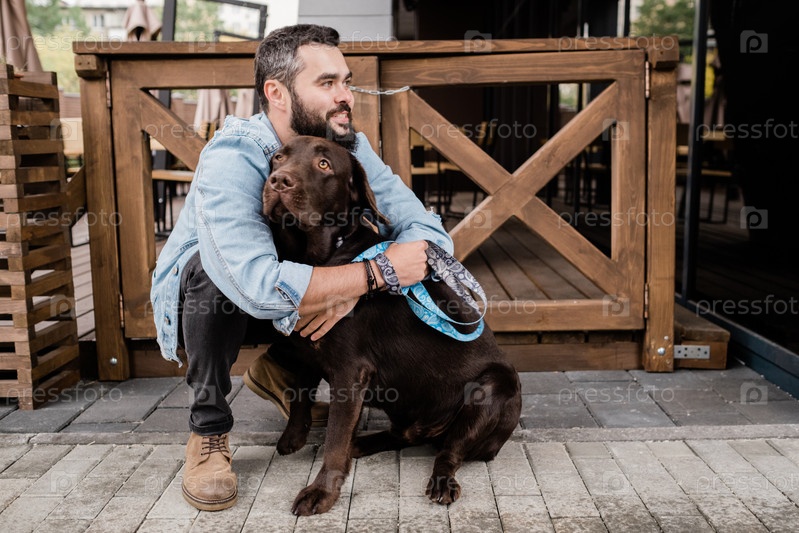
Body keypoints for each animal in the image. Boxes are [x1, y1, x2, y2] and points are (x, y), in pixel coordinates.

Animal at [262, 135, 522, 516]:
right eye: (278, 158)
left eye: (324, 164)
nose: (279, 180)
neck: (320, 257)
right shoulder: (308, 345)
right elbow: (299, 392)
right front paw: (293, 436)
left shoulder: (350, 371)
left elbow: (335, 437)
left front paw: (321, 491)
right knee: (404, 437)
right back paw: (362, 444)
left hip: (496, 388)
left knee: (451, 452)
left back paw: (441, 480)